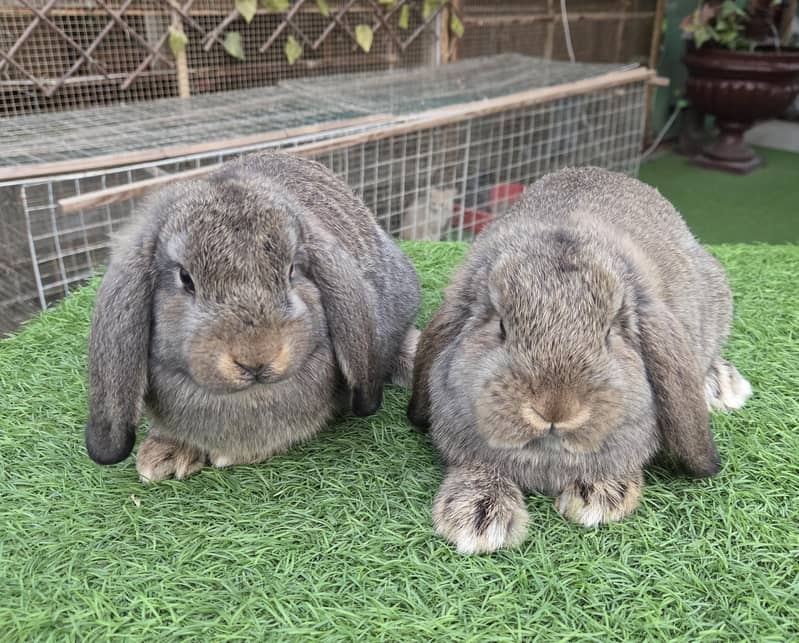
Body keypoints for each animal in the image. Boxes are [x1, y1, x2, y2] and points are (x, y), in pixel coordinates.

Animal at [408, 166, 751, 554]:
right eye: (501, 326)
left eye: (611, 331)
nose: (555, 409)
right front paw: (476, 516)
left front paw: (600, 496)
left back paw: (720, 384)